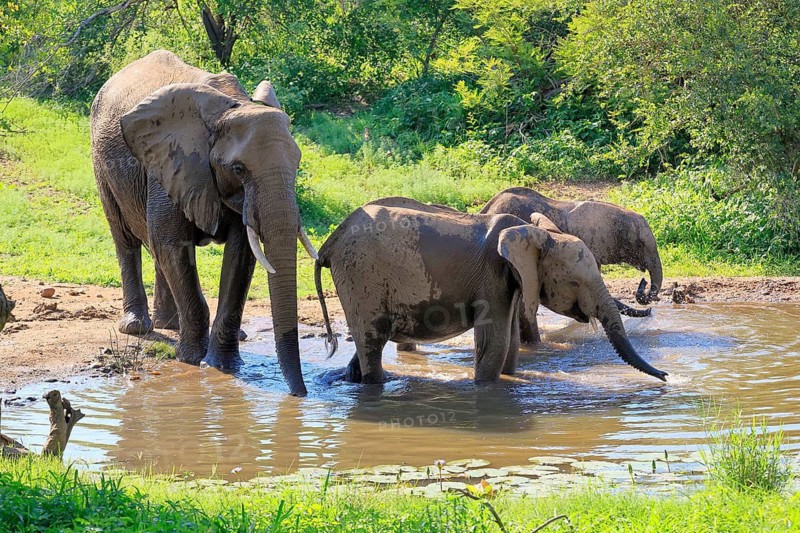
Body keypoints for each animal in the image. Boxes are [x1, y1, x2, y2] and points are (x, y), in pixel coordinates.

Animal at [91, 50, 315, 396]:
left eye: (298, 163)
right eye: (238, 169)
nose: (300, 395)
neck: (233, 106)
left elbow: (241, 255)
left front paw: (224, 366)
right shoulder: (171, 162)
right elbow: (172, 244)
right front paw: (192, 361)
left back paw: (172, 325)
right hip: (102, 163)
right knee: (126, 237)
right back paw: (139, 326)